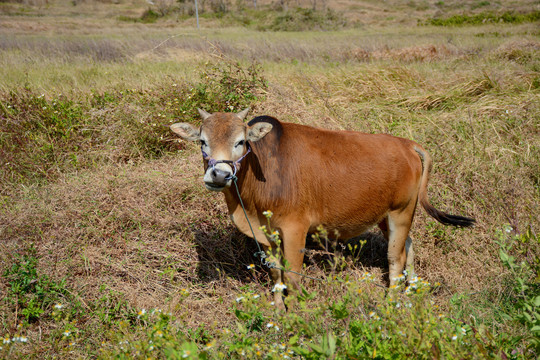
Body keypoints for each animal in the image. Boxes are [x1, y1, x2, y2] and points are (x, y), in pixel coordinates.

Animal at [171, 108, 474, 308]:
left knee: (394, 258)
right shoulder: (267, 235)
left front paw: (294, 314)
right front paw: (277, 311)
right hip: (385, 217)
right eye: (202, 141)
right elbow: (276, 274)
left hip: (401, 212)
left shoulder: (295, 230)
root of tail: (408, 144)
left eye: (241, 141)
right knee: (408, 246)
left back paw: (393, 301)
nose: (219, 175)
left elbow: (292, 277)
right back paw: (412, 290)